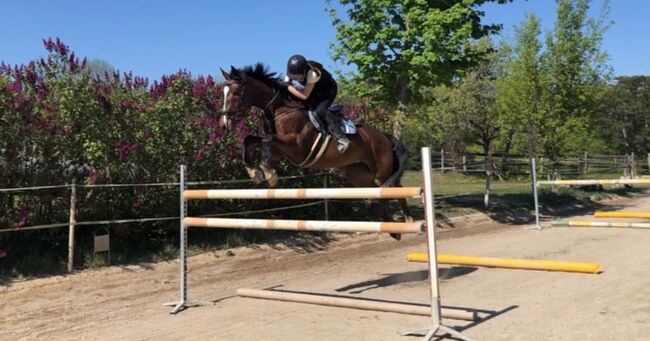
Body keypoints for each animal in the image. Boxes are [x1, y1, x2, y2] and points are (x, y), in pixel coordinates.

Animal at [218, 63, 410, 236]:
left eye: (236, 92)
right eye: (224, 93)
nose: (223, 124)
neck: (280, 111)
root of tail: (384, 136)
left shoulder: (297, 148)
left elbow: (267, 140)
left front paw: (269, 174)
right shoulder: (280, 152)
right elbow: (250, 139)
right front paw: (255, 172)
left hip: (382, 170)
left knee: (396, 188)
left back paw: (407, 221)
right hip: (358, 175)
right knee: (377, 192)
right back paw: (391, 228)